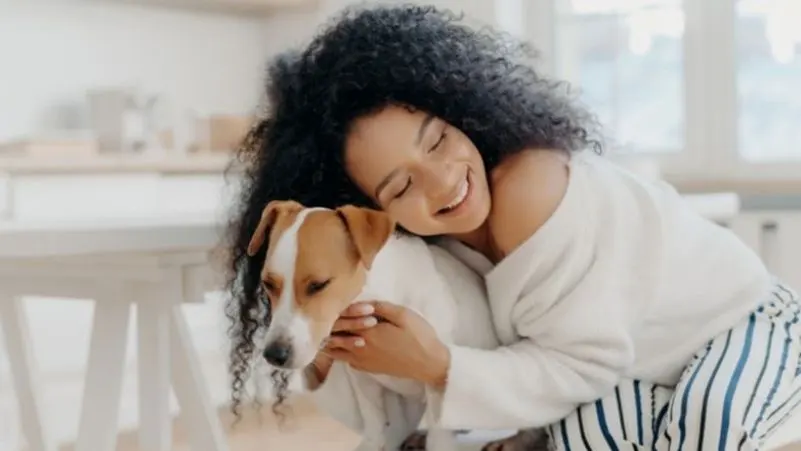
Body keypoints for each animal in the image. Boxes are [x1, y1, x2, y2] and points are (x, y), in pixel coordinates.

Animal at [247, 201, 548, 451]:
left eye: (318, 285)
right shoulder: (363, 379)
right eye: (268, 284)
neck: (379, 293)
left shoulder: (437, 377)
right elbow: (375, 423)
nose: (274, 355)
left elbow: (439, 438)